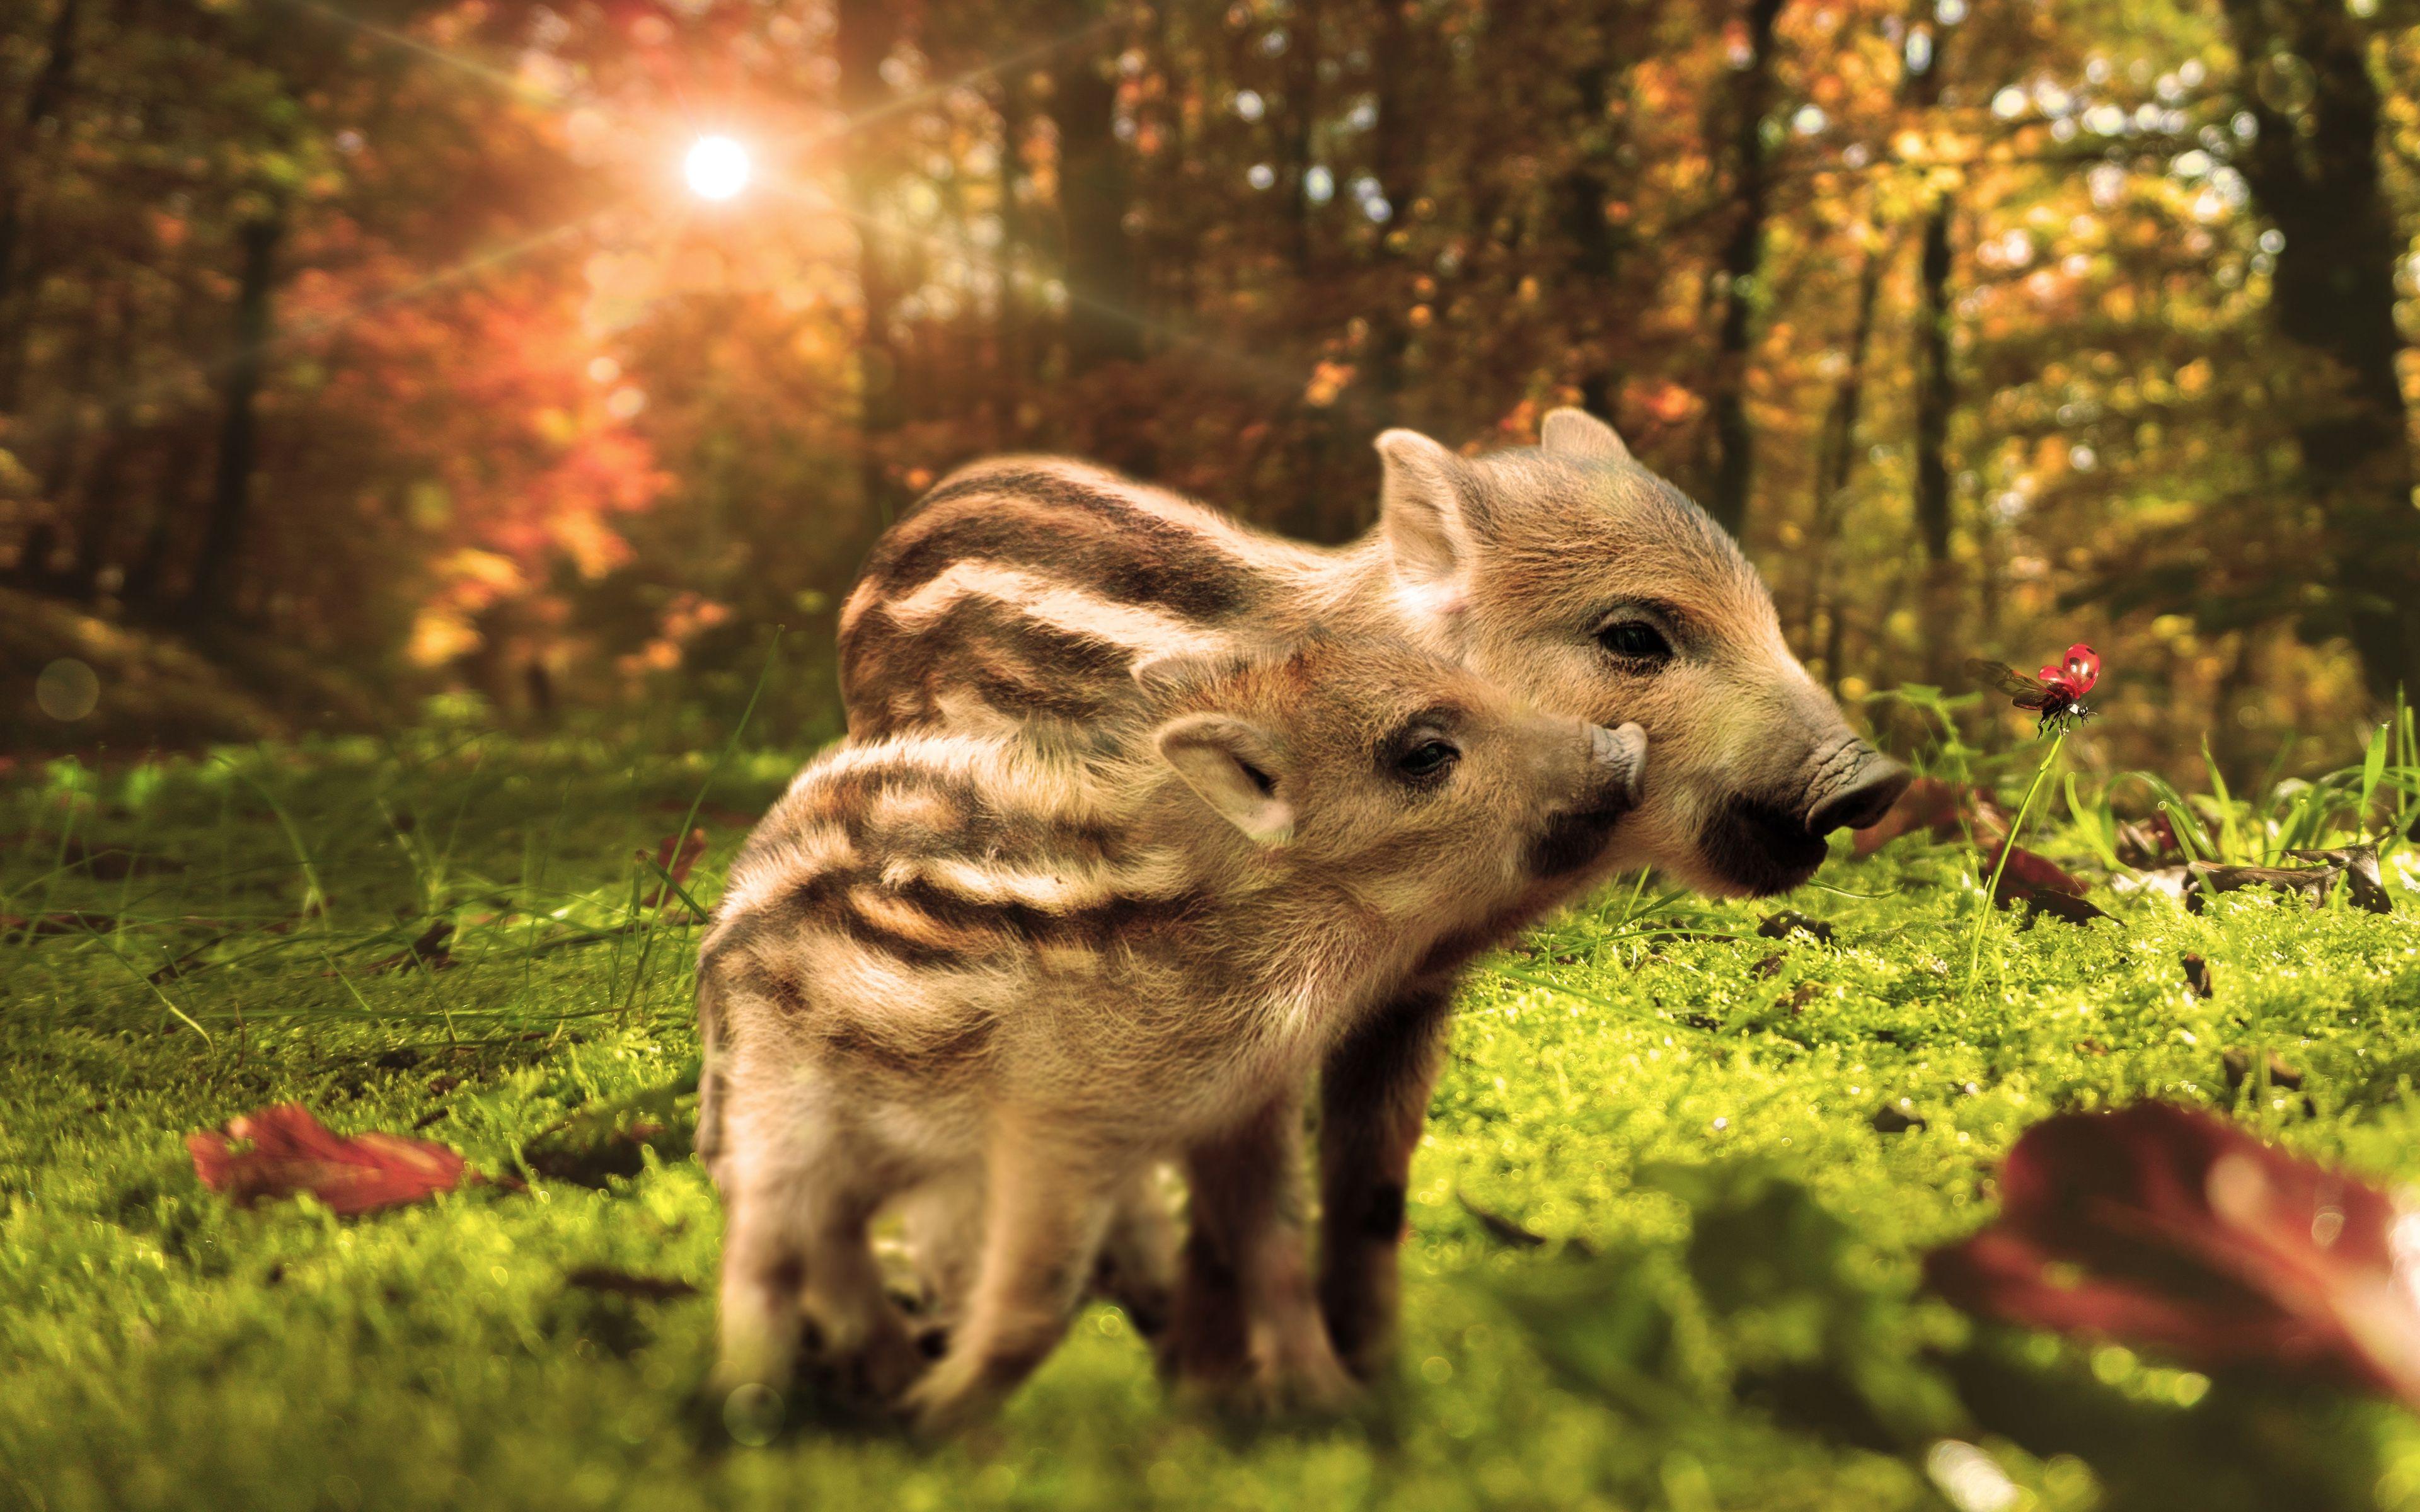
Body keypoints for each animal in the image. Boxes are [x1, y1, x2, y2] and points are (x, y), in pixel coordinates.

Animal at [696, 635, 1648, 1430]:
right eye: (1424, 753)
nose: (1626, 747)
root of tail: (730, 911)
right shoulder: (1058, 1123)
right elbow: (1033, 1305)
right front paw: (942, 1429)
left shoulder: (1244, 1110)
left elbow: (1275, 1256)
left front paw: (1330, 1407)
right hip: (781, 1104)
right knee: (763, 1247)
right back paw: (759, 1410)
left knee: (835, 1237)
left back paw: (879, 1382)